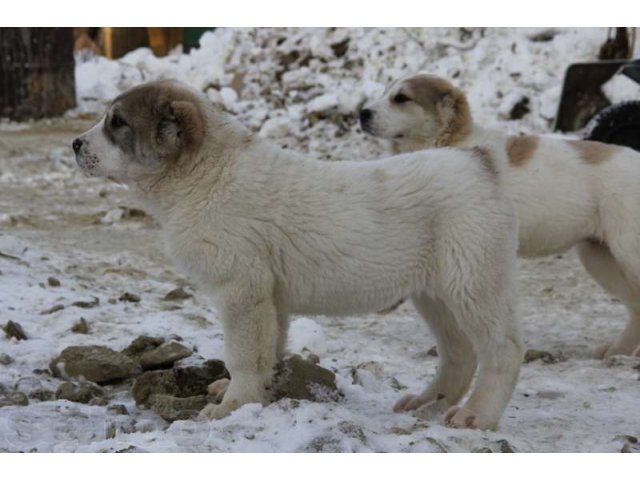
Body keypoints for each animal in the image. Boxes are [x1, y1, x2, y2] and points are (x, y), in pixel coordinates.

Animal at [75, 79, 524, 432]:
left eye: (118, 123)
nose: (75, 143)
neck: (206, 174)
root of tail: (478, 161)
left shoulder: (242, 291)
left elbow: (243, 354)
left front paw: (233, 405)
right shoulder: (269, 299)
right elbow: (267, 349)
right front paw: (255, 390)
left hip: (472, 285)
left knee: (502, 351)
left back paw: (477, 415)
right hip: (436, 295)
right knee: (460, 354)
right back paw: (429, 402)